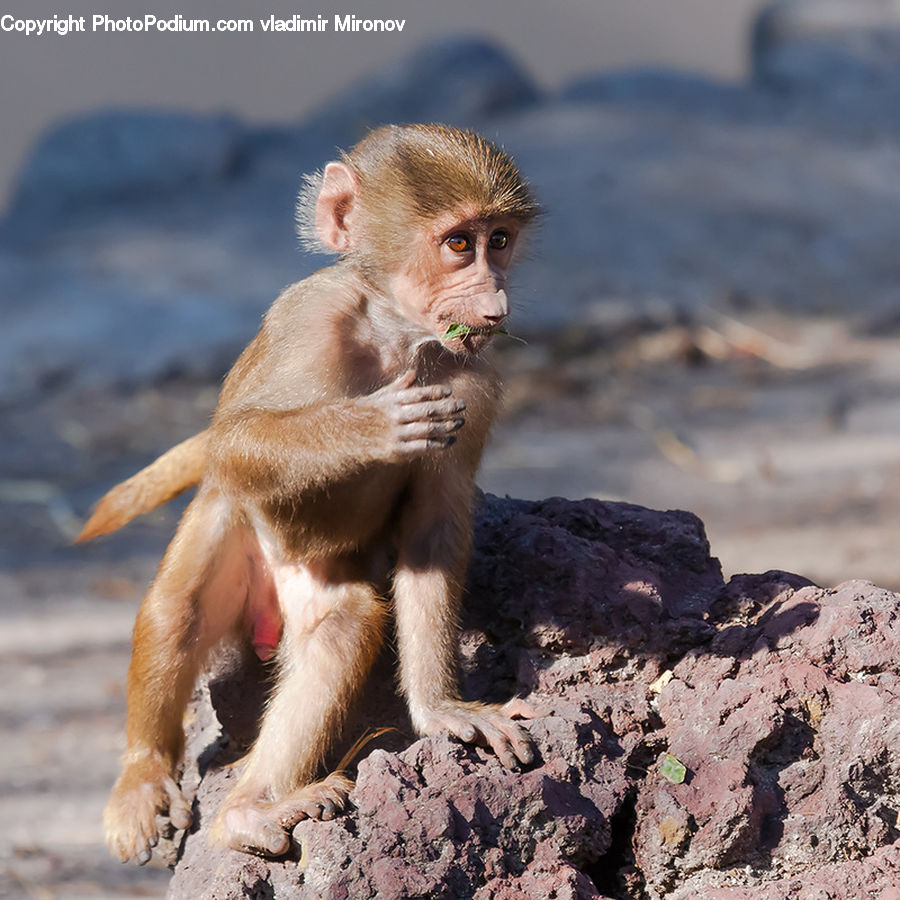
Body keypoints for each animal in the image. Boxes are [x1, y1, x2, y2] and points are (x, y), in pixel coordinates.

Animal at [80, 123, 542, 865]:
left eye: (498, 239)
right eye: (458, 244)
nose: (495, 303)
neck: (395, 332)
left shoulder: (473, 378)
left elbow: (432, 529)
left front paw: (443, 709)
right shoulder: (309, 316)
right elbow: (233, 439)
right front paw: (374, 427)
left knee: (340, 626)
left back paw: (248, 812)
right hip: (230, 525)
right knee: (177, 611)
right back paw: (150, 778)